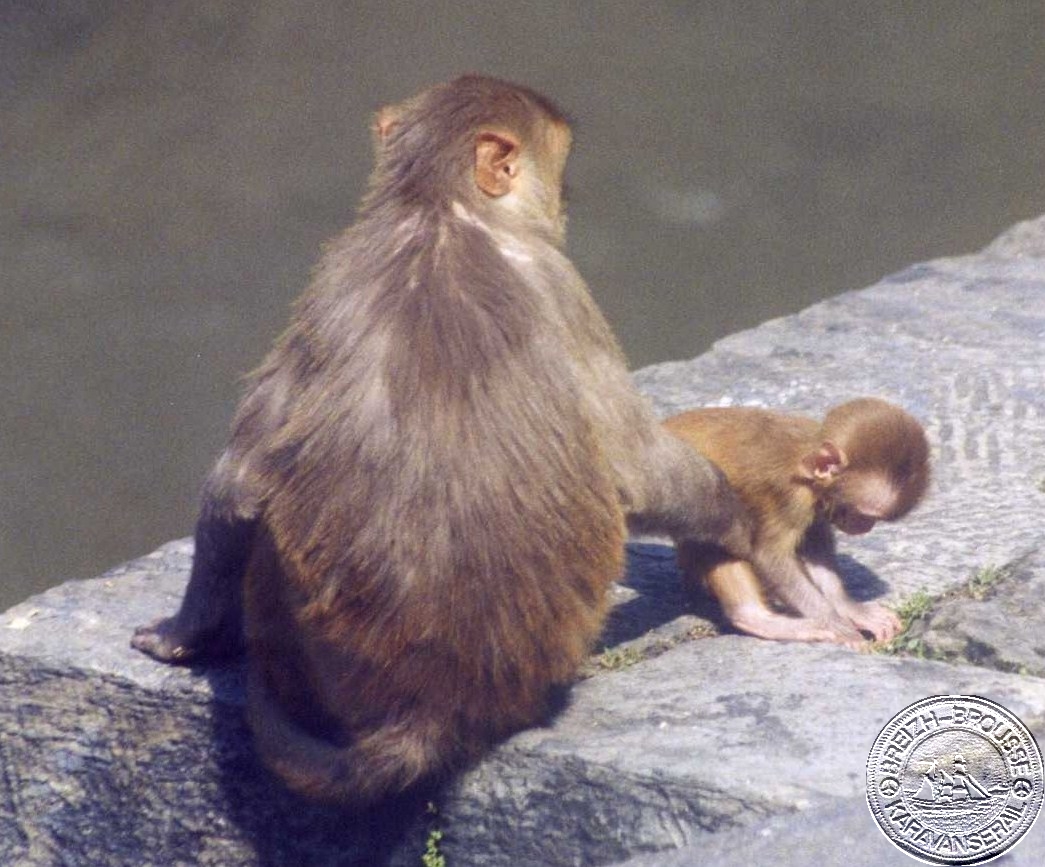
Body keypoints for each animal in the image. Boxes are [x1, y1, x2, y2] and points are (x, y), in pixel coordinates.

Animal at [132, 76, 752, 806]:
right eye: (558, 172)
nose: (564, 205)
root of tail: (430, 708)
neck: (439, 210)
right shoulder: (554, 279)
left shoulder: (330, 278)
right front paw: (740, 523)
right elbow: (636, 463)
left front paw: (182, 638)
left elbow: (240, 480)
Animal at [664, 396, 927, 647]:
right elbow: (771, 557)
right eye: (865, 515)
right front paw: (833, 623)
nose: (866, 527)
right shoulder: (789, 497)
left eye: (872, 519)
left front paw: (848, 607)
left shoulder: (815, 503)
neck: (805, 459)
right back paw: (754, 617)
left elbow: (815, 544)